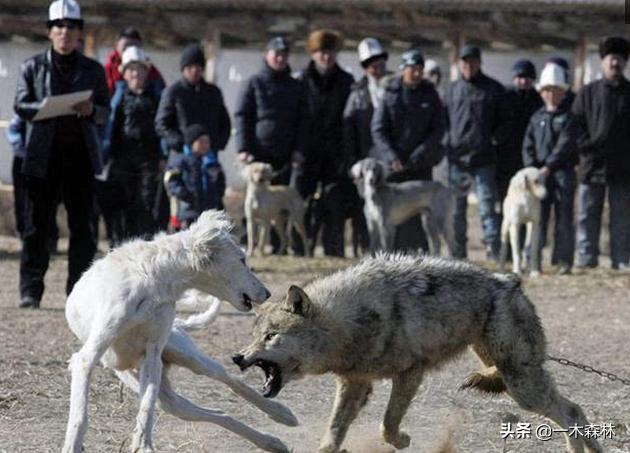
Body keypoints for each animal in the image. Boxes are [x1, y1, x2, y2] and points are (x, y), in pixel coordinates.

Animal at [63, 211, 298, 452]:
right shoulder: (87, 358)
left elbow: (146, 408)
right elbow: (80, 415)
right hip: (154, 389)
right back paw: (270, 441)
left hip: (186, 355)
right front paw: (74, 445)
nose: (267, 293)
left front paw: (144, 445)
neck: (152, 280)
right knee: (205, 410)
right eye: (242, 259)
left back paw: (281, 415)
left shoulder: (152, 356)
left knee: (227, 377)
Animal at [236, 254, 604, 452]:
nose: (237, 358)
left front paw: (401, 439)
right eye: (254, 337)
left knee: (570, 412)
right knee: (572, 407)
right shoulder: (355, 383)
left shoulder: (410, 373)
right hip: (495, 360)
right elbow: (333, 435)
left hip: (522, 387)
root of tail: (512, 281)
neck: (349, 322)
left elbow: (387, 425)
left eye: (270, 337)